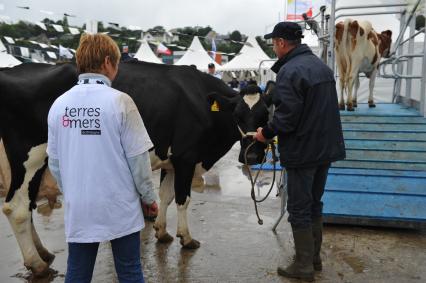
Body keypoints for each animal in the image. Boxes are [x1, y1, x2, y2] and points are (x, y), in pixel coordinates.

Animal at [0, 61, 270, 276]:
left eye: (265, 115)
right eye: (237, 115)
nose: (253, 155)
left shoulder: (171, 160)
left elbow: (165, 195)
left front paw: (162, 232)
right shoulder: (186, 156)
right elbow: (183, 199)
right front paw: (186, 237)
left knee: (28, 205)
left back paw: (43, 252)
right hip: (30, 158)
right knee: (16, 208)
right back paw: (37, 264)